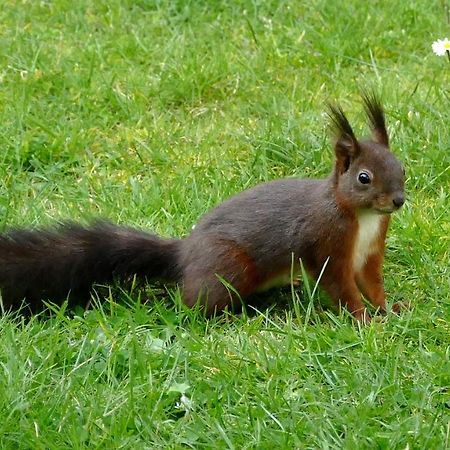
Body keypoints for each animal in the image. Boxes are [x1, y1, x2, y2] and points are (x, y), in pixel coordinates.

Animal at [0, 93, 404, 322]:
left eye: (402, 168)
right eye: (364, 178)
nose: (398, 200)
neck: (364, 218)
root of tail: (184, 254)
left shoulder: (369, 251)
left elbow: (371, 282)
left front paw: (390, 308)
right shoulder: (326, 242)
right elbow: (340, 286)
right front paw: (365, 319)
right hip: (229, 267)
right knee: (192, 304)